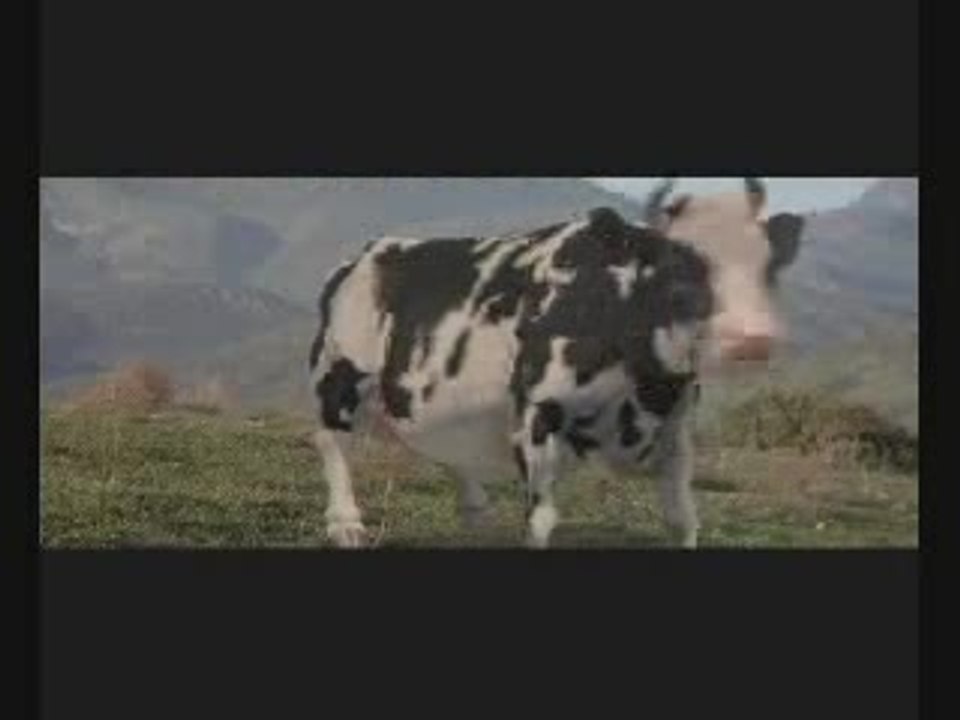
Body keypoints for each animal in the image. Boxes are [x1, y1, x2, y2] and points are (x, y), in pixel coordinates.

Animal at [307, 178, 806, 549]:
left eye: (768, 267)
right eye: (677, 270)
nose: (753, 339)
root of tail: (365, 254)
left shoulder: (677, 426)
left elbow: (682, 519)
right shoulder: (536, 414)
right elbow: (542, 520)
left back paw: (476, 510)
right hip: (340, 371)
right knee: (332, 440)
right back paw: (345, 523)